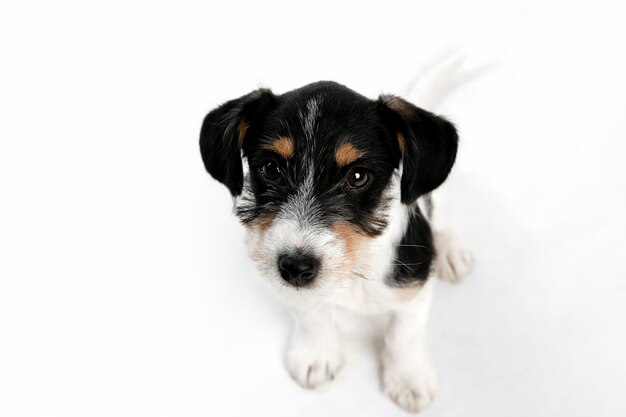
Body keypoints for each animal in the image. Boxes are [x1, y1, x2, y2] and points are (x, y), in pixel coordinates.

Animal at [200, 79, 472, 412]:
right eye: (271, 169)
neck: (356, 266)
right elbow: (311, 317)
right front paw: (315, 356)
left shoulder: (414, 284)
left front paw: (408, 378)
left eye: (357, 176)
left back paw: (452, 251)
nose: (295, 267)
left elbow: (404, 333)